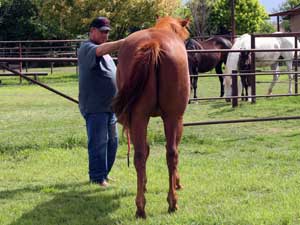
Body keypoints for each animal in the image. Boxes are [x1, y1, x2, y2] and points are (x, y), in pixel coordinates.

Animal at [112, 16, 190, 218]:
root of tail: (154, 43)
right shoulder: (178, 120)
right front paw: (177, 182)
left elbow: (145, 150)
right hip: (171, 117)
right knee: (172, 153)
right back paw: (171, 202)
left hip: (140, 117)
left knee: (142, 155)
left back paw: (141, 206)